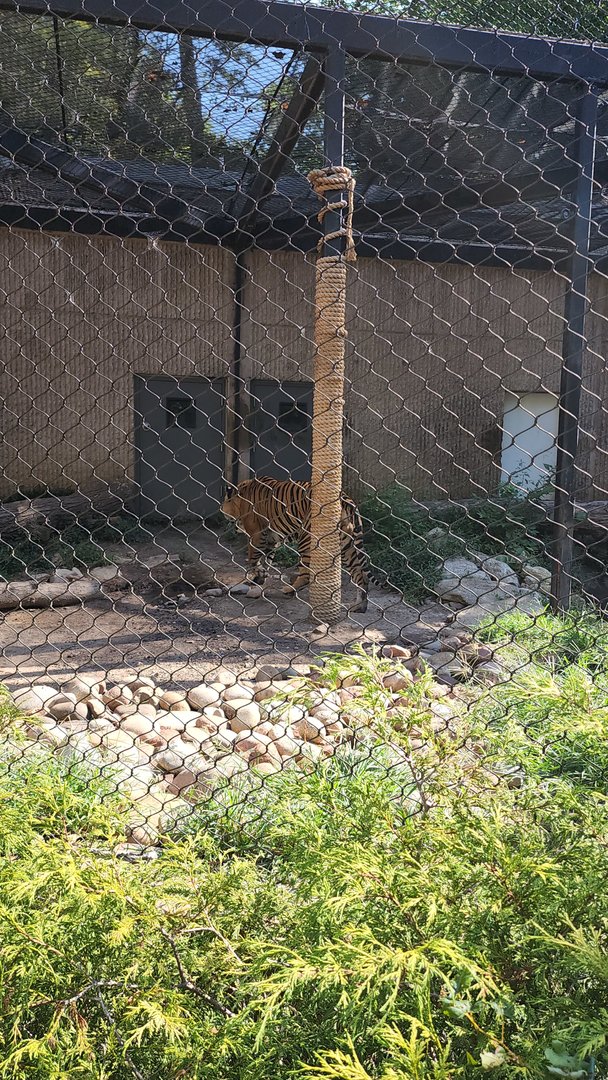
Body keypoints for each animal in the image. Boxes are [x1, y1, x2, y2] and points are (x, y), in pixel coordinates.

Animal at [222, 476, 369, 613]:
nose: (222, 512)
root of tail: (346, 499)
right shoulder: (271, 539)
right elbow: (266, 559)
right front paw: (260, 577)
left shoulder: (256, 534)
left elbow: (253, 557)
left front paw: (259, 573)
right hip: (347, 547)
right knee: (360, 574)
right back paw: (359, 606)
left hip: (307, 540)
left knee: (306, 574)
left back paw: (289, 590)